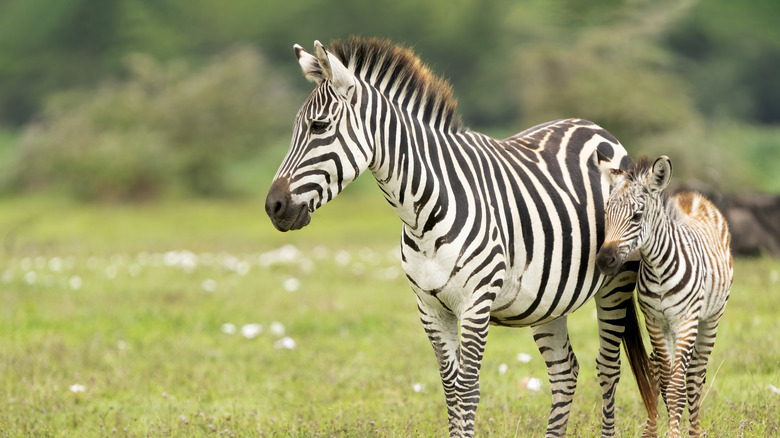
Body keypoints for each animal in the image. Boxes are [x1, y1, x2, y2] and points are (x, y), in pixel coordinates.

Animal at [266, 37, 656, 438]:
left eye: (318, 126)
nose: (273, 206)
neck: (420, 213)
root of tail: (593, 126)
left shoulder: (475, 303)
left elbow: (468, 388)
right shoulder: (429, 307)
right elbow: (450, 387)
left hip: (615, 282)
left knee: (607, 368)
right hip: (549, 299)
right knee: (565, 371)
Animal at [596, 156, 736, 436]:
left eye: (637, 216)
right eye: (606, 213)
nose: (605, 261)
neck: (658, 269)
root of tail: (693, 196)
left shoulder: (686, 321)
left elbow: (676, 389)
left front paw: (675, 433)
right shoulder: (655, 321)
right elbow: (662, 379)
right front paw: (654, 431)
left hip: (710, 319)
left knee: (694, 376)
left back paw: (694, 431)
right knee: (659, 369)